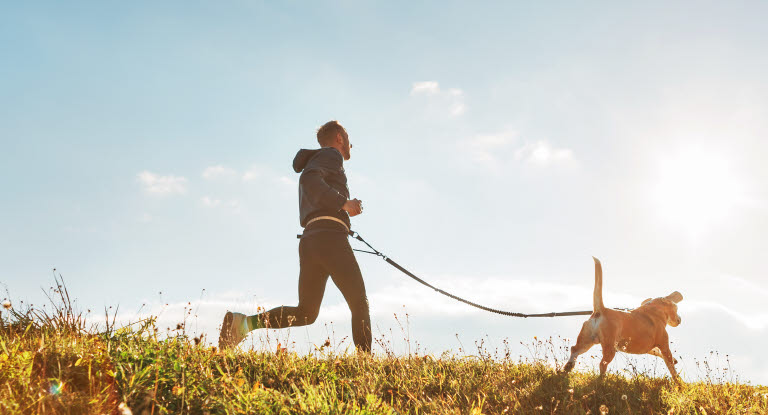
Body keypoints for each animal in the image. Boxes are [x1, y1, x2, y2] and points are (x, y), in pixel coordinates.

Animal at [560, 256, 684, 384]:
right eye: (676, 308)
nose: (680, 319)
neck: (653, 309)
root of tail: (601, 309)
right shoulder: (664, 345)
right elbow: (671, 367)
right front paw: (679, 383)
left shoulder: (650, 348)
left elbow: (657, 352)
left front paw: (675, 361)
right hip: (609, 348)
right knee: (602, 364)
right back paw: (601, 381)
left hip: (586, 341)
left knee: (574, 350)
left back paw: (567, 369)